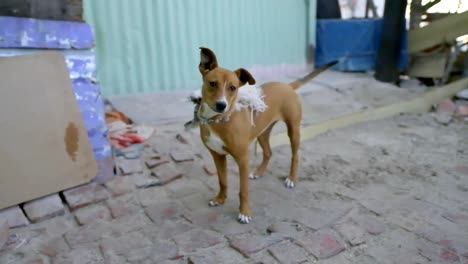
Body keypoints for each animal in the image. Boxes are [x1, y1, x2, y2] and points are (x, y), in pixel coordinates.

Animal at [195, 47, 336, 223]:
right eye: (213, 83)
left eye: (233, 88)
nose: (222, 105)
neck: (218, 120)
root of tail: (287, 86)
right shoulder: (217, 155)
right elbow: (223, 181)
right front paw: (220, 199)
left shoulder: (243, 159)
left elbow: (243, 190)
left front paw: (245, 213)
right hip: (262, 133)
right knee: (268, 152)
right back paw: (258, 172)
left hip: (293, 131)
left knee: (295, 156)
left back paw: (291, 179)